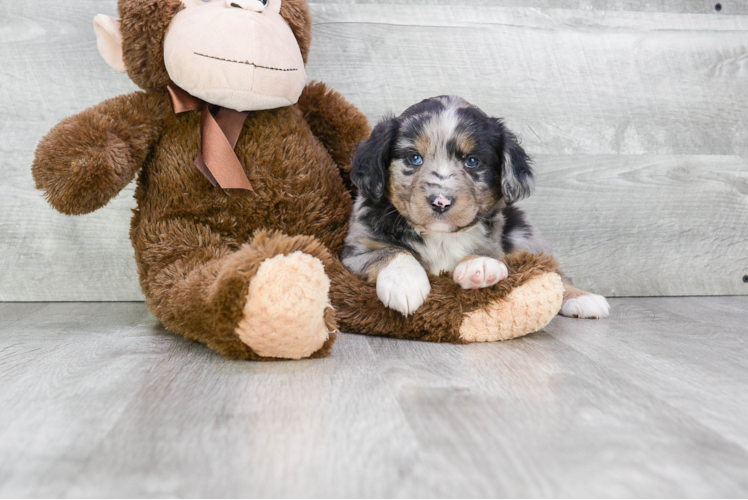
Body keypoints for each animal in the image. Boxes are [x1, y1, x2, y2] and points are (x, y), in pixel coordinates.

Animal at [342, 95, 612, 318]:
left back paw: (582, 298)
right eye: (414, 158)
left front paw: (479, 265)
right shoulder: (353, 254)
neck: (439, 237)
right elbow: (391, 252)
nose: (441, 202)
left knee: (555, 271)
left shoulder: (496, 246)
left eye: (472, 161)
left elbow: (487, 255)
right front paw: (405, 282)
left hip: (523, 232)